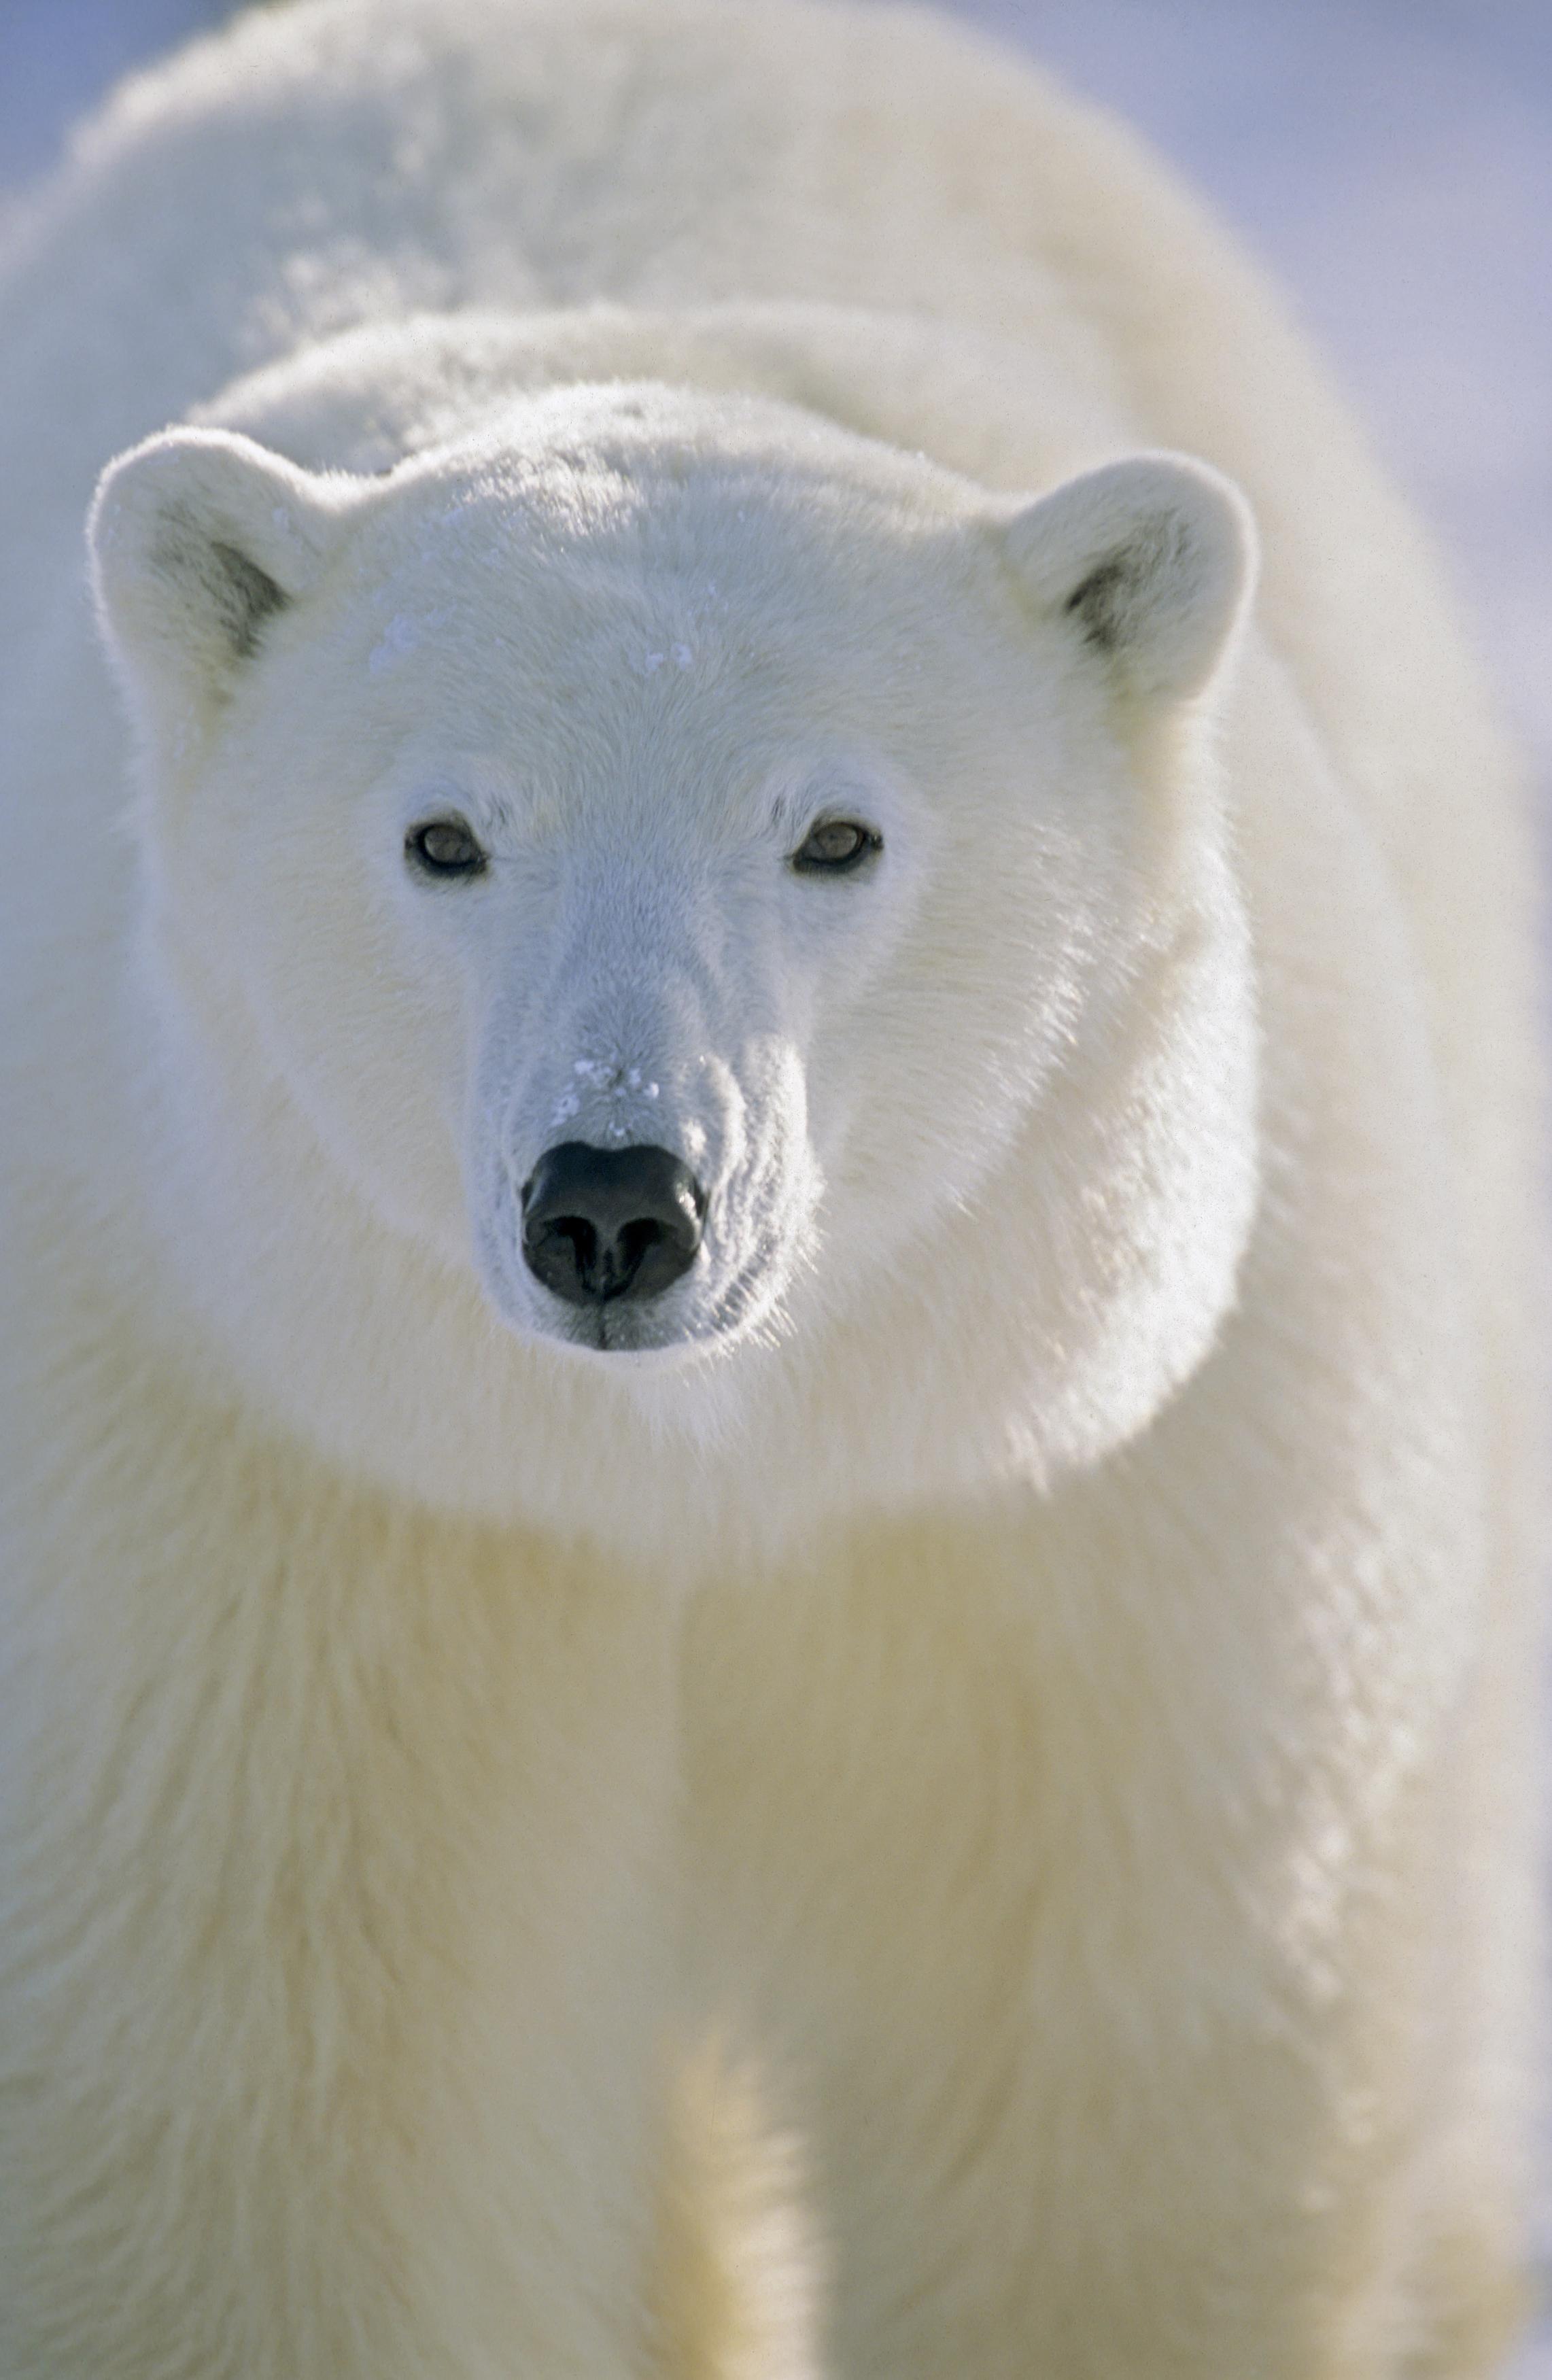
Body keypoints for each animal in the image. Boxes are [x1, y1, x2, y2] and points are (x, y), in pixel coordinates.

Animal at [0, 0, 1540, 2374]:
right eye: (446, 835)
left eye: (833, 833)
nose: (619, 1198)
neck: (702, 1465)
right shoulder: (263, 1486)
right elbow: (292, 2145)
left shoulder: (1086, 1531)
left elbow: (1092, 2133)